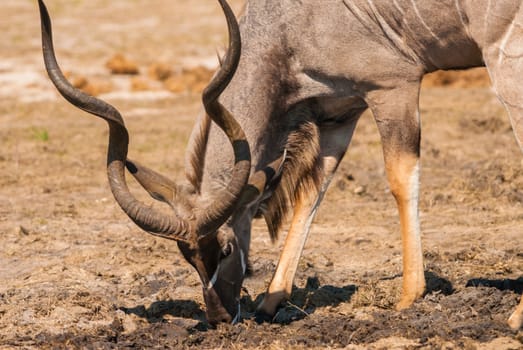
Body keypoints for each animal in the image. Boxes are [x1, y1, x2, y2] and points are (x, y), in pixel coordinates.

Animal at [40, 0, 523, 328]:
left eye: (226, 249)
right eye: (186, 255)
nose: (221, 317)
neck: (291, 23)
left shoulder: (392, 87)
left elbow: (400, 178)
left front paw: (409, 296)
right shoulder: (339, 114)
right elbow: (312, 194)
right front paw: (272, 299)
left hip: (504, 70)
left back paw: (515, 315)